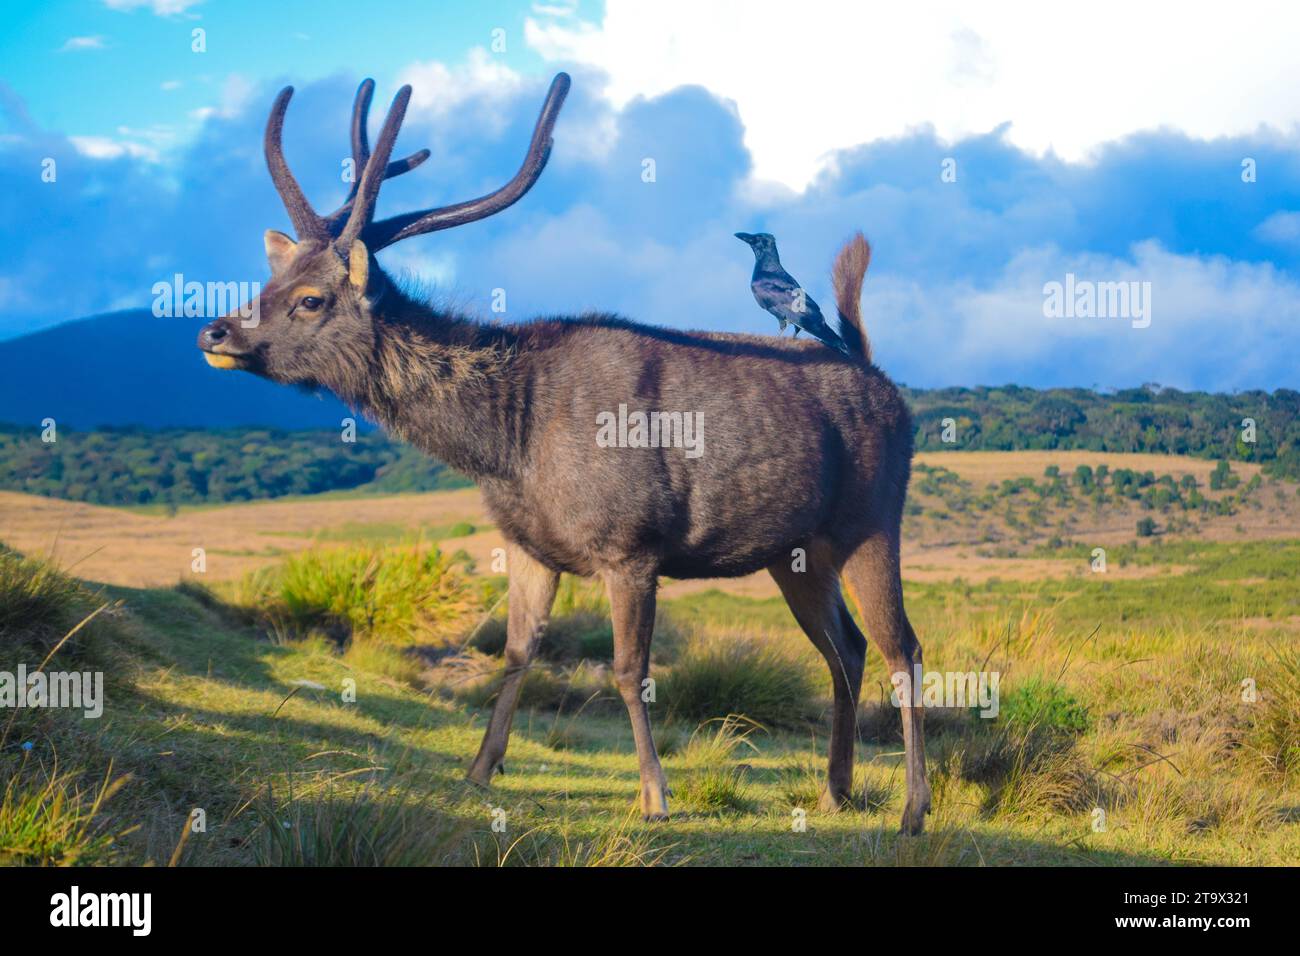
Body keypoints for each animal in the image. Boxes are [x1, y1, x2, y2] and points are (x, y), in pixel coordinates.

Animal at [195, 69, 935, 832]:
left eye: (311, 299)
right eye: (269, 281)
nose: (214, 332)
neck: (509, 447)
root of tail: (881, 377)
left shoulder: (631, 545)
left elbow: (628, 670)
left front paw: (654, 796)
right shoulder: (528, 546)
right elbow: (516, 652)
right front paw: (480, 769)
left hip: (871, 519)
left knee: (904, 647)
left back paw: (913, 808)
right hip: (796, 553)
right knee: (847, 650)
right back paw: (835, 789)